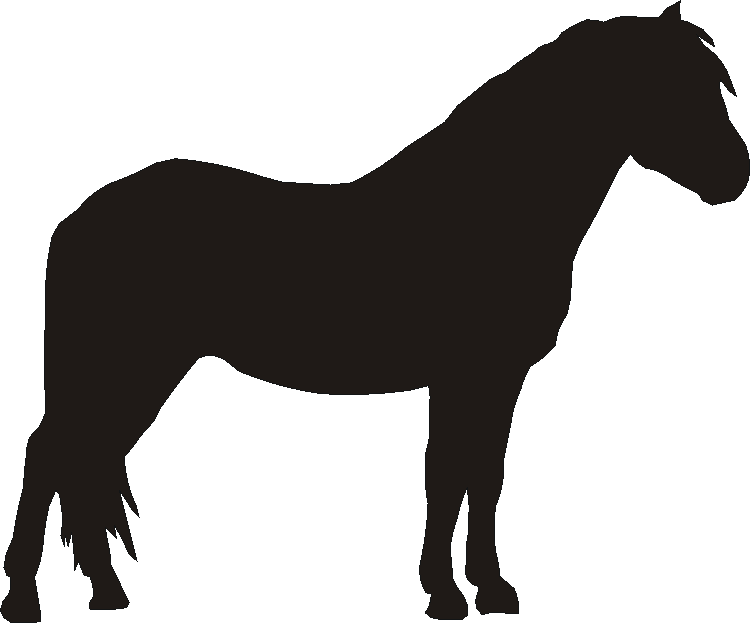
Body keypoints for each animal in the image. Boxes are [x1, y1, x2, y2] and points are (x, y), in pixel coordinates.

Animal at [2, 2, 748, 621]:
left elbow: (485, 475)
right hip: (129, 367)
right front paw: (445, 593)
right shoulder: (463, 373)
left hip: (141, 373)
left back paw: (107, 591)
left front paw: (491, 588)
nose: (734, 175)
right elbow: (446, 474)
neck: (487, 204)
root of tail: (81, 217)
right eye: (671, 87)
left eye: (714, 84)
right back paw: (24, 599)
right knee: (50, 452)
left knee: (82, 457)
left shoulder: (499, 377)